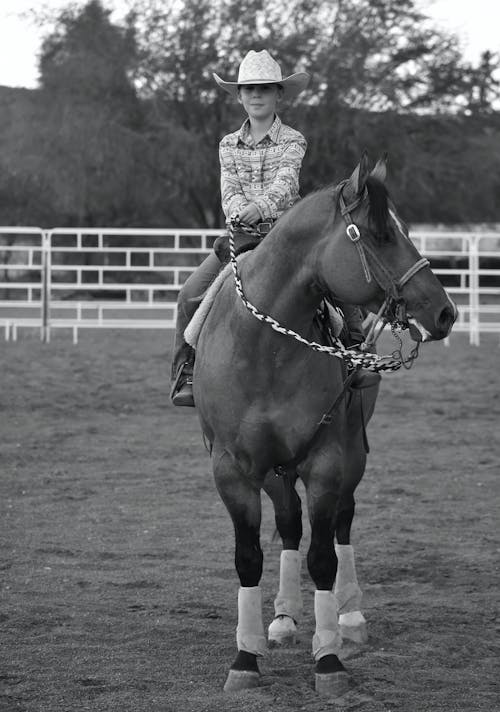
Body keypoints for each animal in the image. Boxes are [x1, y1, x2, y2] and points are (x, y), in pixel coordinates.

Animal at [191, 154, 458, 696]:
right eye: (380, 234)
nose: (445, 312)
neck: (263, 347)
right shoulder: (233, 469)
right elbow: (249, 556)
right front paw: (245, 658)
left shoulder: (328, 461)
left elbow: (324, 558)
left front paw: (329, 659)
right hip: (276, 470)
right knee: (290, 523)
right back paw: (282, 620)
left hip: (350, 454)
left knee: (341, 523)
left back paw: (349, 617)